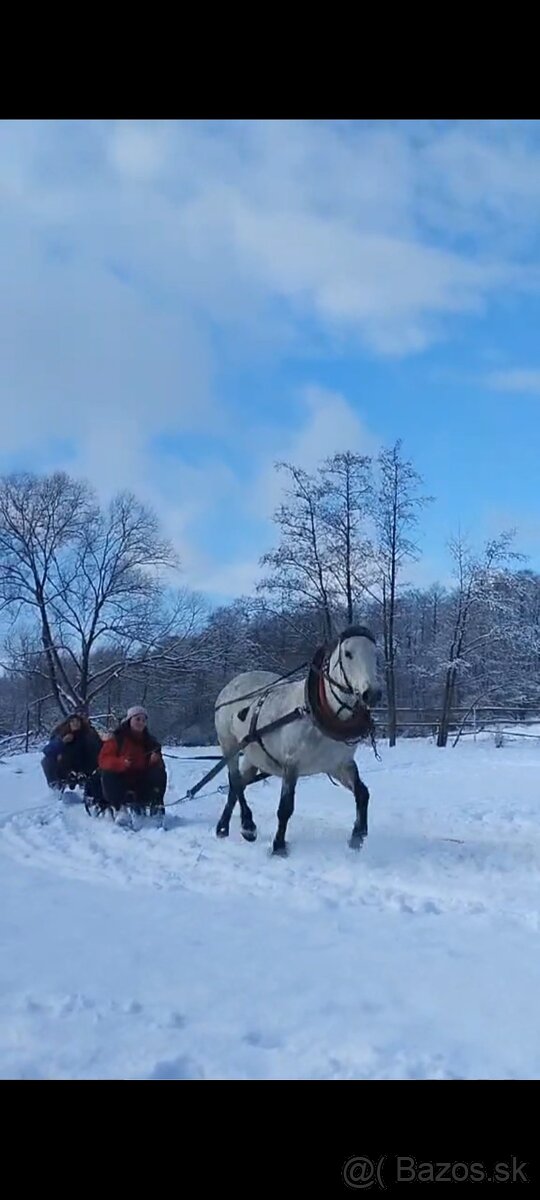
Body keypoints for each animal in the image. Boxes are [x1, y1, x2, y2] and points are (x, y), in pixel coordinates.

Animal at [213, 628, 381, 854]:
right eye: (348, 654)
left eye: (375, 653)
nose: (372, 693)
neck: (313, 712)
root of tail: (231, 685)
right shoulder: (291, 764)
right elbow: (285, 807)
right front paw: (278, 846)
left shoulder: (339, 764)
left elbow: (362, 793)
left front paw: (357, 836)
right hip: (228, 744)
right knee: (236, 781)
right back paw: (248, 826)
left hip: (253, 755)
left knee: (236, 785)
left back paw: (223, 827)